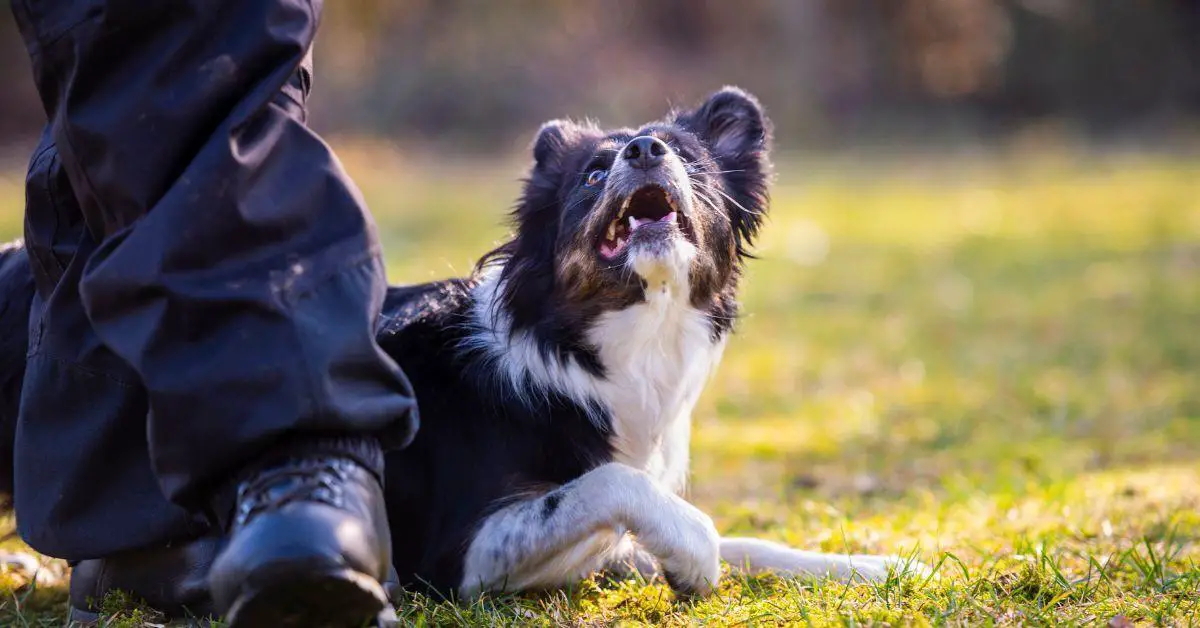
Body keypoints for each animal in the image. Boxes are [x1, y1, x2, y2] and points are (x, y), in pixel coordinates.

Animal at [0, 87, 921, 600]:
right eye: (594, 173)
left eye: (690, 159)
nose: (643, 148)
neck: (601, 350)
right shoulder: (463, 551)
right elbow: (613, 485)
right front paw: (692, 554)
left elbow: (747, 539)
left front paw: (874, 566)